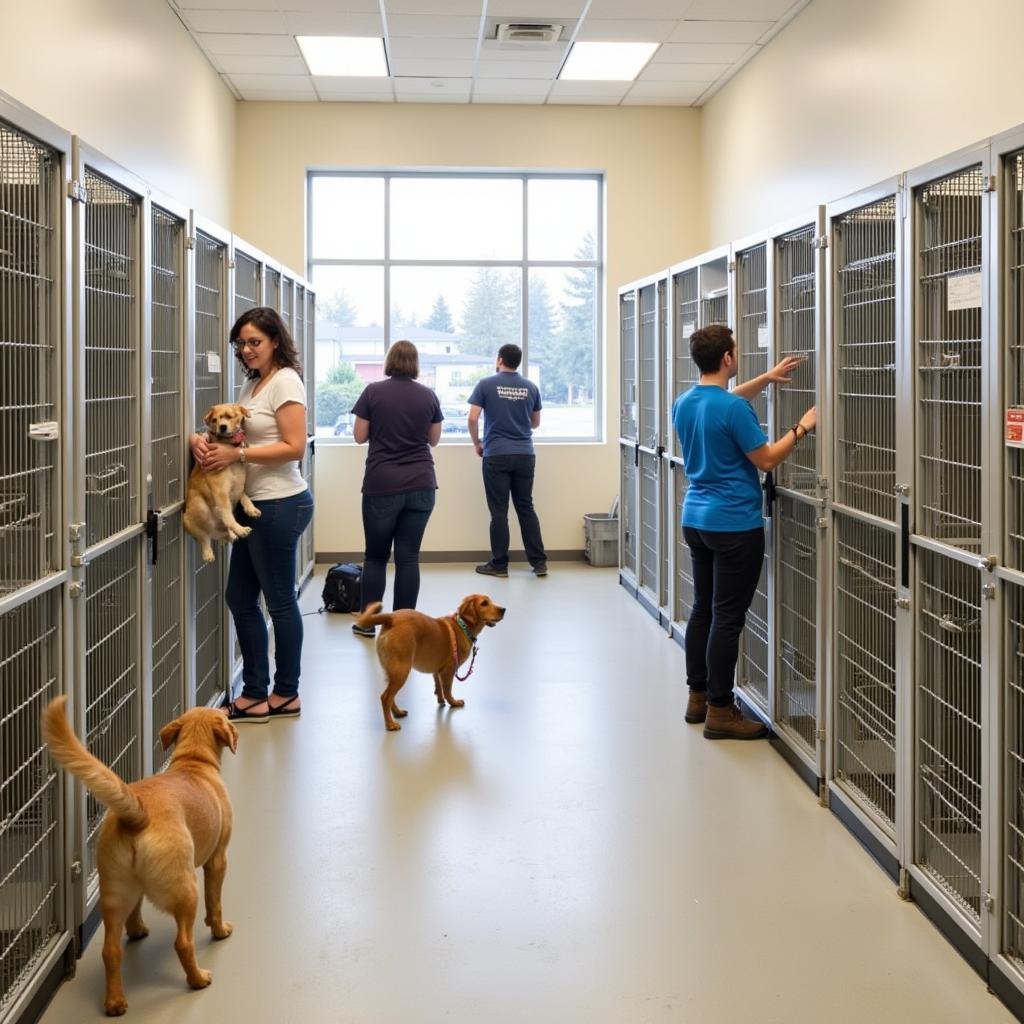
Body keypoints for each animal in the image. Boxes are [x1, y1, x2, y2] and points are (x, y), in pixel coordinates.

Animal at [41, 696, 237, 1015]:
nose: (227, 708)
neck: (193, 762)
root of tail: (138, 815)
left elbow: (137, 909)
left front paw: (137, 929)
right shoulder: (218, 859)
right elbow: (215, 904)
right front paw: (220, 930)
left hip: (114, 892)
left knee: (111, 950)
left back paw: (116, 1001)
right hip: (186, 890)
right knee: (183, 943)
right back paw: (197, 979)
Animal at [186, 401, 262, 565]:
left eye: (229, 416)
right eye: (214, 420)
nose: (222, 427)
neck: (228, 445)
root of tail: (213, 532)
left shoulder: (238, 486)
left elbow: (245, 497)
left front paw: (251, 509)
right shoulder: (221, 492)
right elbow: (228, 515)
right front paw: (239, 528)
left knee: (223, 534)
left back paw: (231, 535)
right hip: (198, 507)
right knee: (203, 537)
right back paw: (209, 551)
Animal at [356, 593, 507, 729]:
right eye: (484, 603)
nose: (503, 609)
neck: (462, 625)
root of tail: (391, 618)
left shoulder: (437, 671)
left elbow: (438, 687)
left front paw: (441, 700)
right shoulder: (448, 671)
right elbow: (448, 690)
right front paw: (453, 702)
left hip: (391, 672)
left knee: (390, 697)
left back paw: (397, 712)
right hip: (401, 672)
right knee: (385, 697)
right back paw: (390, 724)